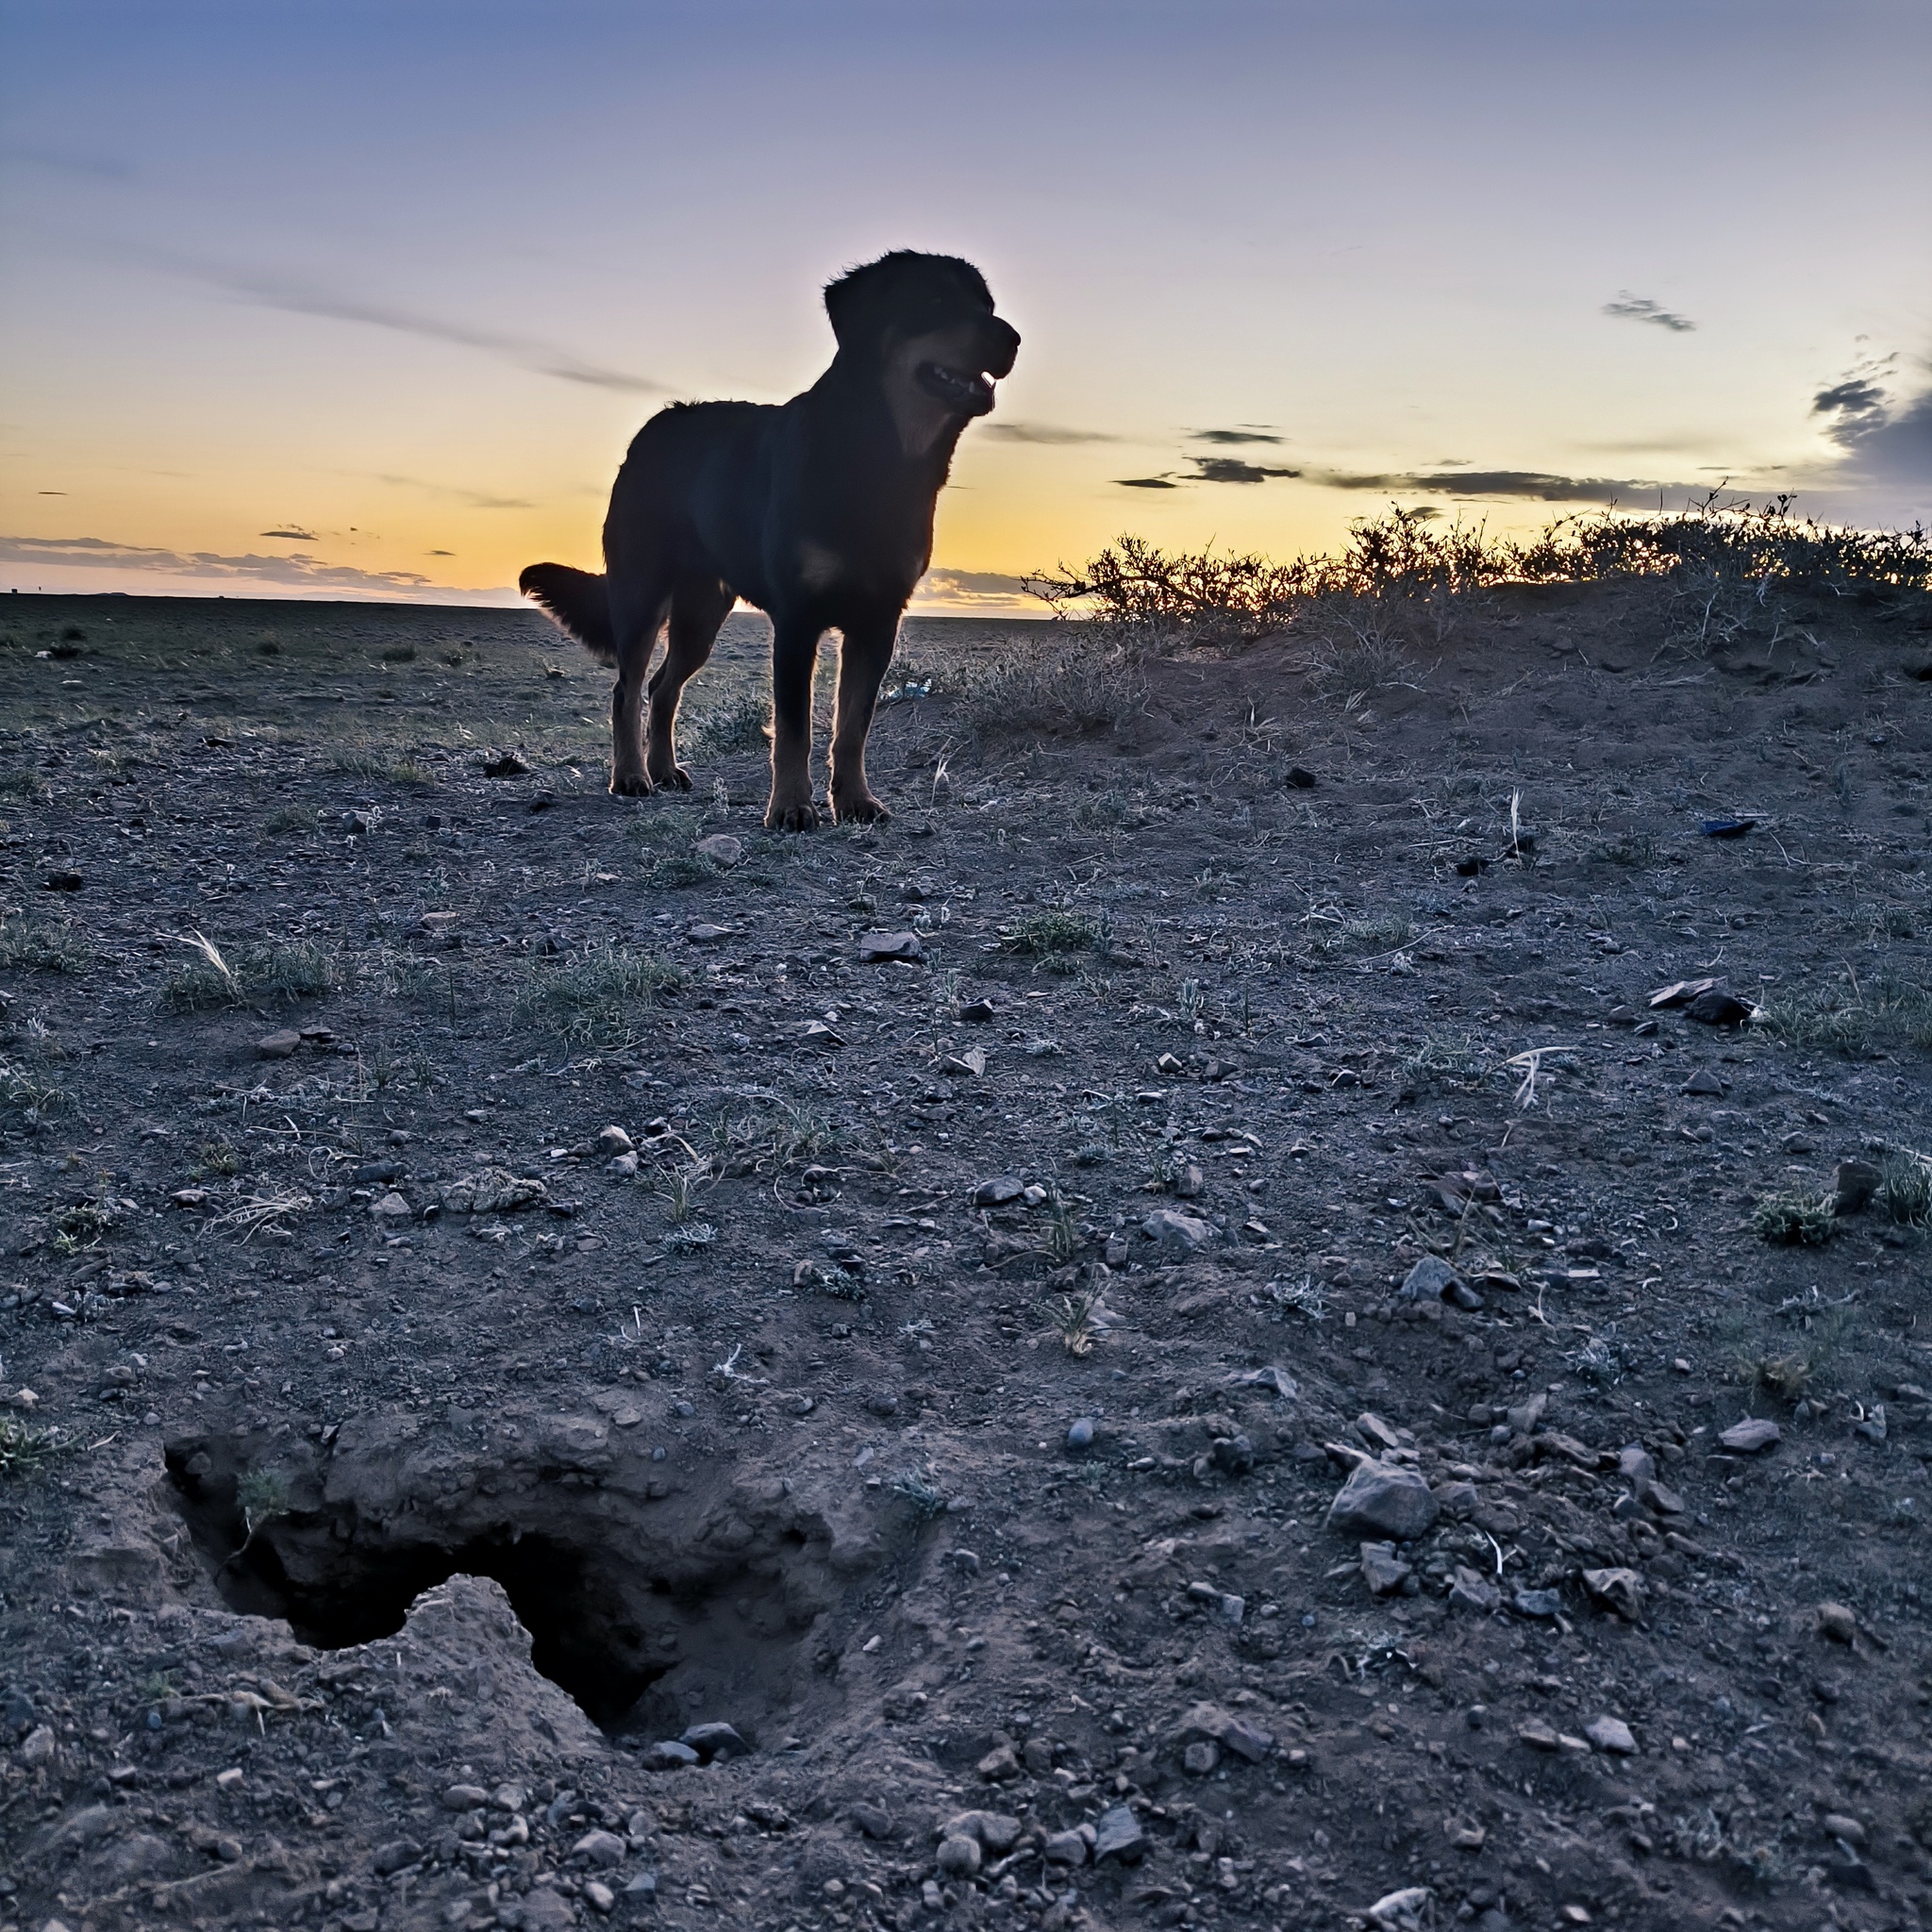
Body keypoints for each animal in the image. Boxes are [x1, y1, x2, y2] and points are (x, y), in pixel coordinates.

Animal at [521, 253, 1020, 826]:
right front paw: (791, 807)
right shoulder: (798, 619)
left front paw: (854, 800)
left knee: (662, 687)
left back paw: (664, 770)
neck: (878, 457)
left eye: (987, 305)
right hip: (642, 593)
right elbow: (794, 730)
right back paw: (631, 776)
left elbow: (853, 725)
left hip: (701, 614)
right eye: (936, 300)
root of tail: (654, 428)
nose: (1013, 339)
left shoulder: (877, 619)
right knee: (627, 690)